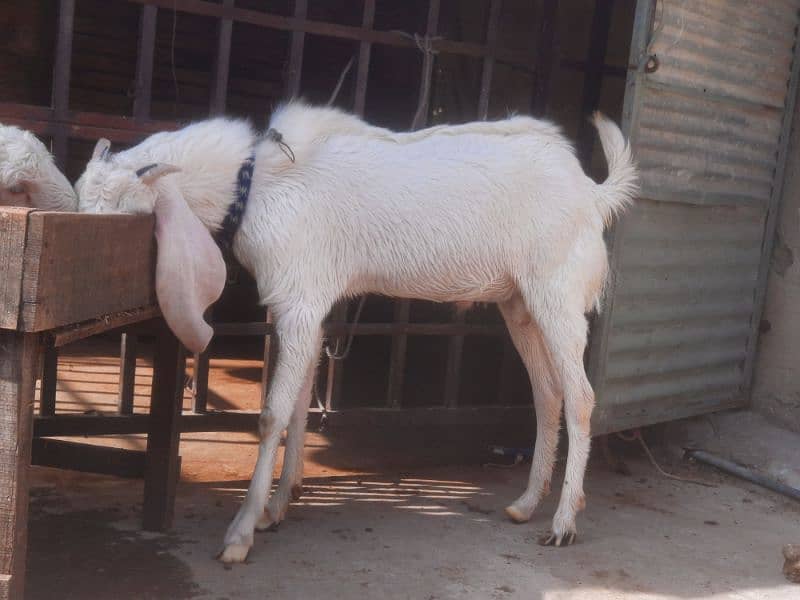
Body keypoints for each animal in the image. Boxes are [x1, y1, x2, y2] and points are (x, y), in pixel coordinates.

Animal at [75, 101, 636, 564]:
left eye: (123, 212)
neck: (255, 183)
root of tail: (592, 192)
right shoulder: (307, 307)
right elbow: (299, 406)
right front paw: (276, 507)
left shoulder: (299, 300)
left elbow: (272, 414)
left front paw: (240, 533)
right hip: (518, 303)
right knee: (547, 395)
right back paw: (526, 503)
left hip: (557, 294)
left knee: (581, 397)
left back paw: (563, 522)